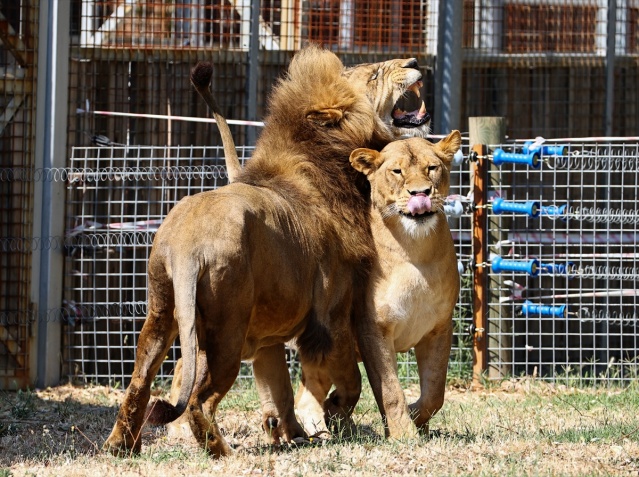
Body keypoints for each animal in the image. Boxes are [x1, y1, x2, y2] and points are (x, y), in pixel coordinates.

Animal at [104, 45, 424, 458]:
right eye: (373, 76)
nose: (414, 63)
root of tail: (186, 246)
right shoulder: (331, 314)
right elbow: (351, 380)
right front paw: (332, 412)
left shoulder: (271, 334)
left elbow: (280, 388)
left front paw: (291, 432)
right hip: (226, 332)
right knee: (198, 401)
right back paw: (220, 452)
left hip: (162, 314)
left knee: (138, 386)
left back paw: (120, 446)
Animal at [298, 130, 462, 436]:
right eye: (397, 171)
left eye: (432, 168)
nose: (420, 194)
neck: (414, 251)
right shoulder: (372, 327)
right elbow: (389, 390)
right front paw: (403, 434)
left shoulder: (439, 327)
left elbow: (436, 392)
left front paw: (415, 415)